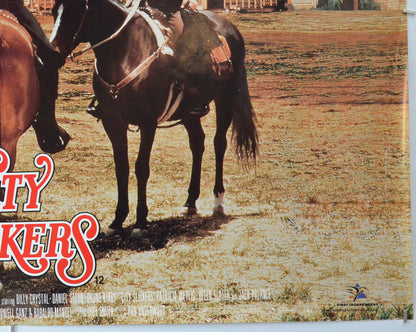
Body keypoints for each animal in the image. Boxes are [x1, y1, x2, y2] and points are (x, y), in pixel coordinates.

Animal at [48, 0, 256, 239]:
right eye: (53, 12)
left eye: (75, 11)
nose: (53, 52)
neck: (125, 52)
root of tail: (231, 29)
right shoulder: (113, 122)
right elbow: (121, 167)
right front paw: (118, 219)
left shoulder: (147, 123)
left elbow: (141, 167)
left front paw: (140, 221)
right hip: (188, 113)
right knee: (197, 143)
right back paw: (190, 201)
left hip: (225, 99)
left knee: (219, 143)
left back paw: (218, 201)